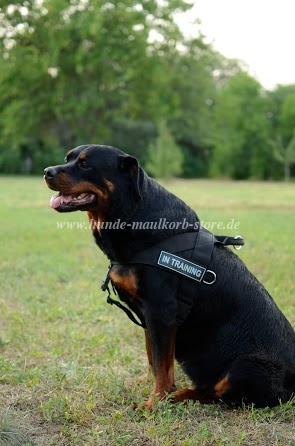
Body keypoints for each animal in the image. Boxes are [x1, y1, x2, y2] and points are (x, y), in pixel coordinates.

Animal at [44, 145, 295, 410]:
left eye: (85, 164)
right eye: (68, 158)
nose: (47, 172)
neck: (132, 216)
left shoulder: (161, 310)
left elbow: (163, 366)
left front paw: (155, 402)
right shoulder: (148, 314)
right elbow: (153, 357)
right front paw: (147, 384)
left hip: (246, 368)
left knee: (215, 393)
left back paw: (180, 395)